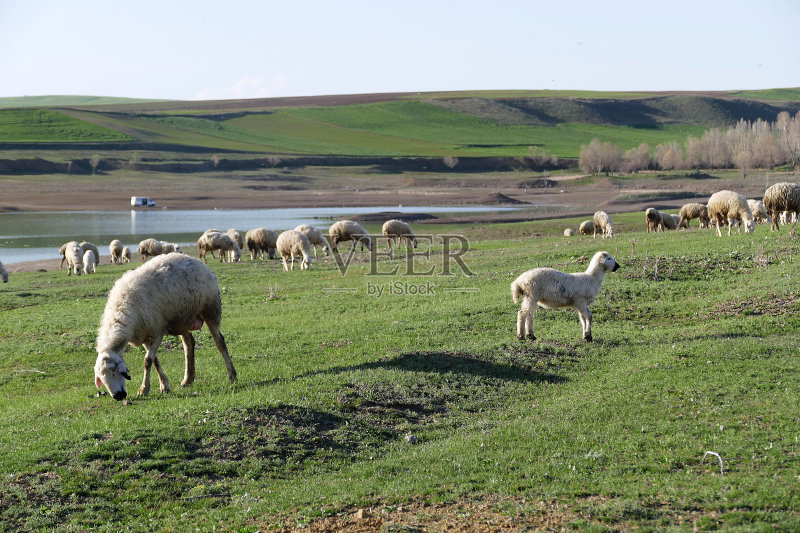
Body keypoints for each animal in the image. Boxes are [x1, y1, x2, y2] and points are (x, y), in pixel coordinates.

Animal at [94, 254, 238, 400]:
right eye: (100, 378)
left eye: (113, 370)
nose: (118, 396)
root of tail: (196, 261)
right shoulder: (144, 334)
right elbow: (154, 361)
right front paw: (164, 385)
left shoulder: (157, 331)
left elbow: (148, 361)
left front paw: (144, 389)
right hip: (183, 318)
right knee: (189, 344)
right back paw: (188, 379)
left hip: (211, 309)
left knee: (220, 342)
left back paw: (232, 375)